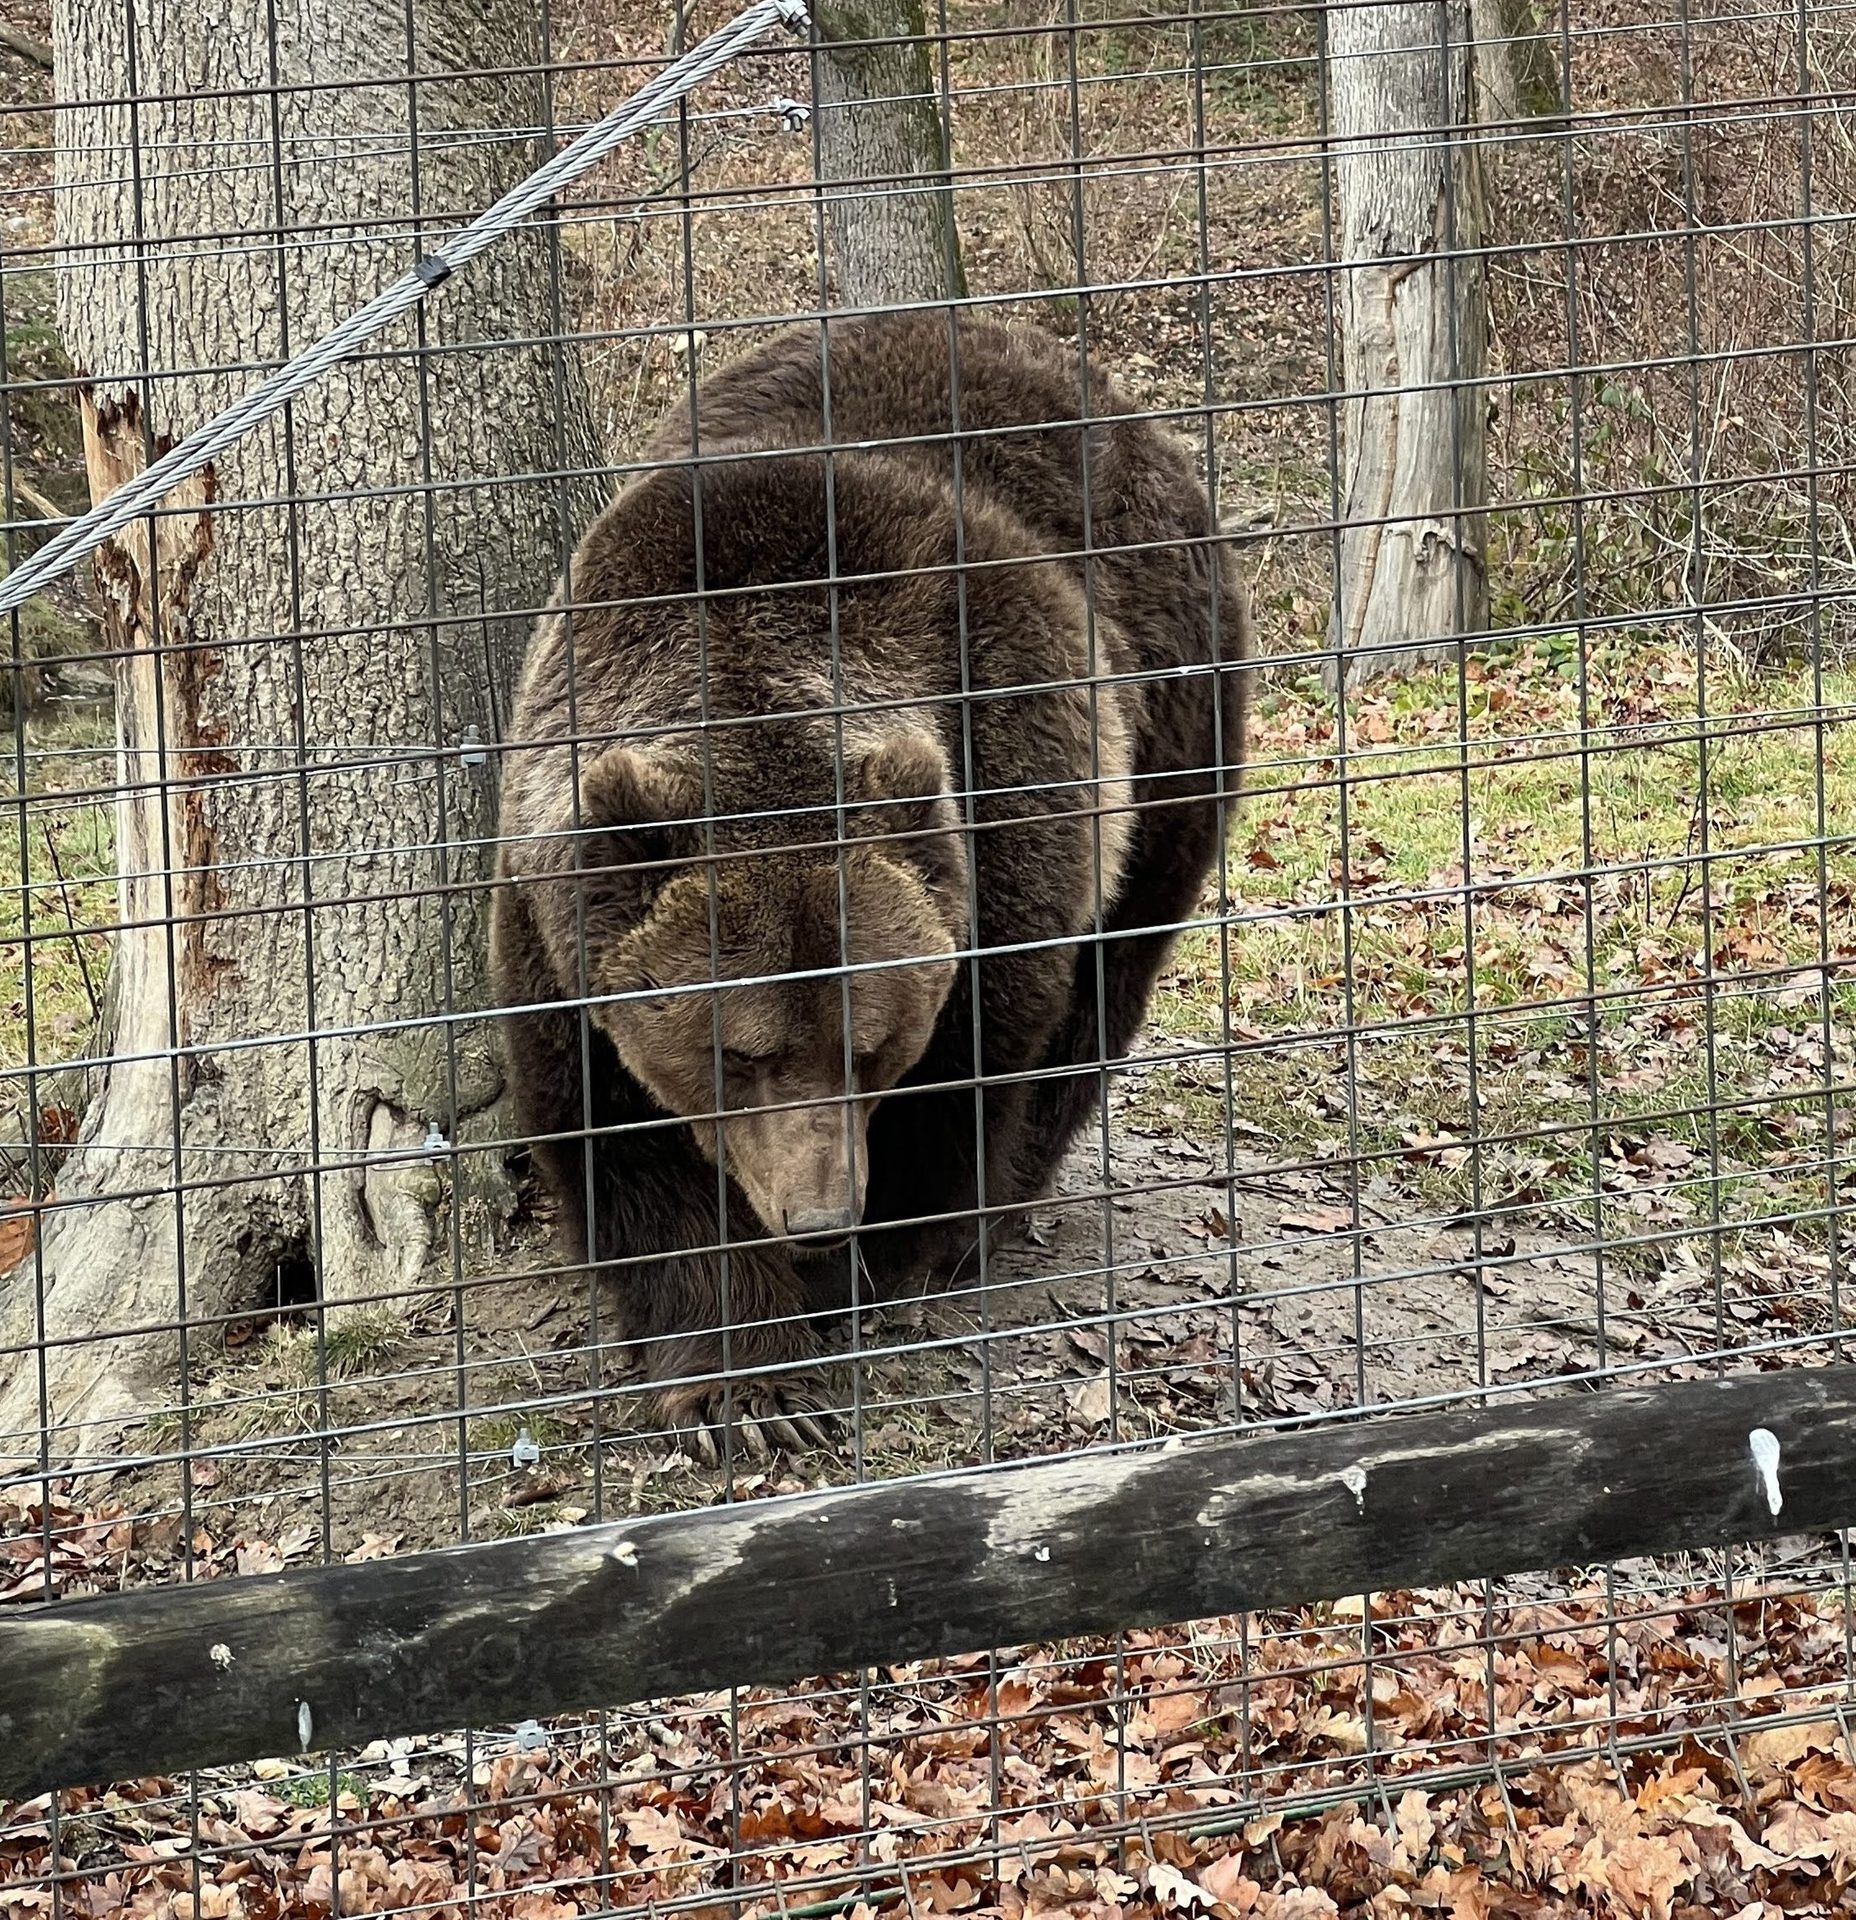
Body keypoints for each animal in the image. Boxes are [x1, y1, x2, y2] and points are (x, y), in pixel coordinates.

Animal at [489, 310, 1250, 1457]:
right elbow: (614, 1129)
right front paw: (743, 1387)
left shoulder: (1004, 782)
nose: (818, 1213)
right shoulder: (561, 904)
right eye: (737, 1053)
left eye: (868, 1042)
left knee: (1108, 972)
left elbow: (973, 1060)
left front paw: (881, 1259)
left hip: (1172, 709)